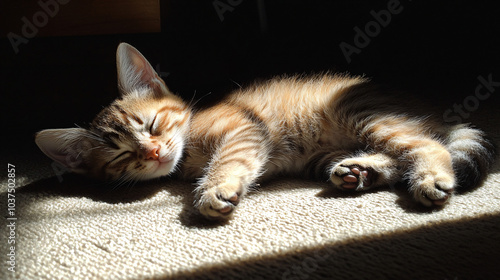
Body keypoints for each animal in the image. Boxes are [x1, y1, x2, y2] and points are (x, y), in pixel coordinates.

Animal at [34, 42, 492, 220]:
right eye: (121, 155)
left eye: (153, 124)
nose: (153, 152)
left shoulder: (243, 130)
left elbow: (228, 161)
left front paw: (215, 187)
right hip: (326, 153)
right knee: (398, 154)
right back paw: (360, 171)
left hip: (361, 113)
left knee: (428, 144)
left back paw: (431, 177)